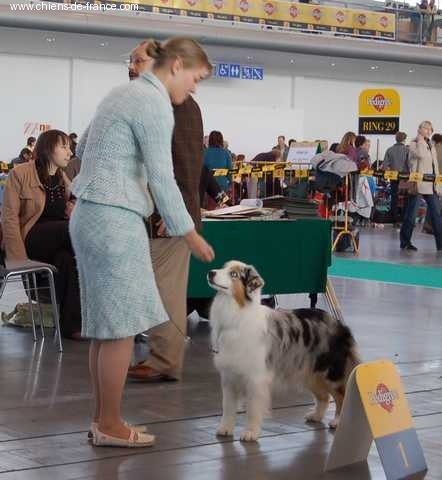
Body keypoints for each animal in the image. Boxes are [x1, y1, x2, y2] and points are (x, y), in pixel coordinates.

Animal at [207, 261, 360, 442]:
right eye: (223, 267)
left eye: (234, 274)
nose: (210, 272)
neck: (237, 314)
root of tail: (339, 324)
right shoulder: (229, 376)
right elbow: (228, 406)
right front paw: (225, 429)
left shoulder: (256, 379)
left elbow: (252, 408)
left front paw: (251, 433)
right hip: (310, 373)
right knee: (324, 397)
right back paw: (315, 416)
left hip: (330, 372)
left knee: (341, 397)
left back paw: (337, 421)